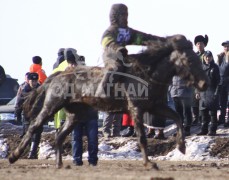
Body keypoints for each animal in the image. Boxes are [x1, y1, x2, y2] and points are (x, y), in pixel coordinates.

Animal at [8, 34, 208, 169]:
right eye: (189, 60)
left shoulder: (155, 107)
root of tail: (58, 75)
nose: (203, 83)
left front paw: (182, 146)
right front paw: (149, 163)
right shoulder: (136, 109)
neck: (147, 73)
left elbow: (177, 117)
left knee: (59, 136)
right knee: (35, 126)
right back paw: (14, 155)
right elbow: (142, 137)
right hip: (52, 105)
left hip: (75, 113)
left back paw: (59, 164)